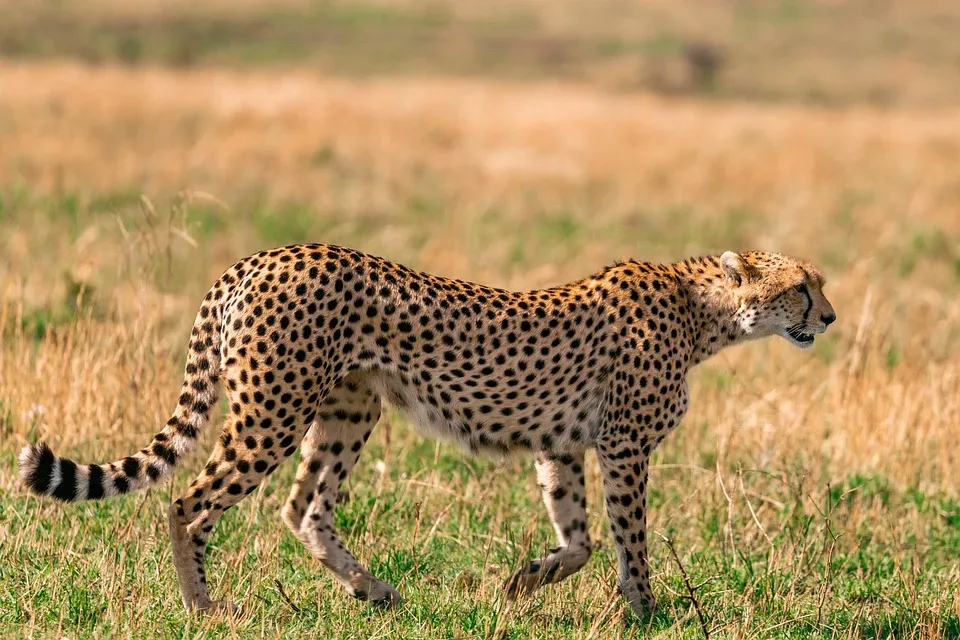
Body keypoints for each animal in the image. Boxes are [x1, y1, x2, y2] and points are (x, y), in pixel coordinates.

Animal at [18, 244, 836, 616]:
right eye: (801, 286)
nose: (828, 317)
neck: (706, 312)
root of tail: (258, 258)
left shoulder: (562, 444)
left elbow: (578, 539)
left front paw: (524, 581)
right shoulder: (624, 447)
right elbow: (629, 539)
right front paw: (648, 613)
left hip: (349, 407)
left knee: (303, 508)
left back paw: (376, 591)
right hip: (272, 411)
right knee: (188, 502)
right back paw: (205, 608)